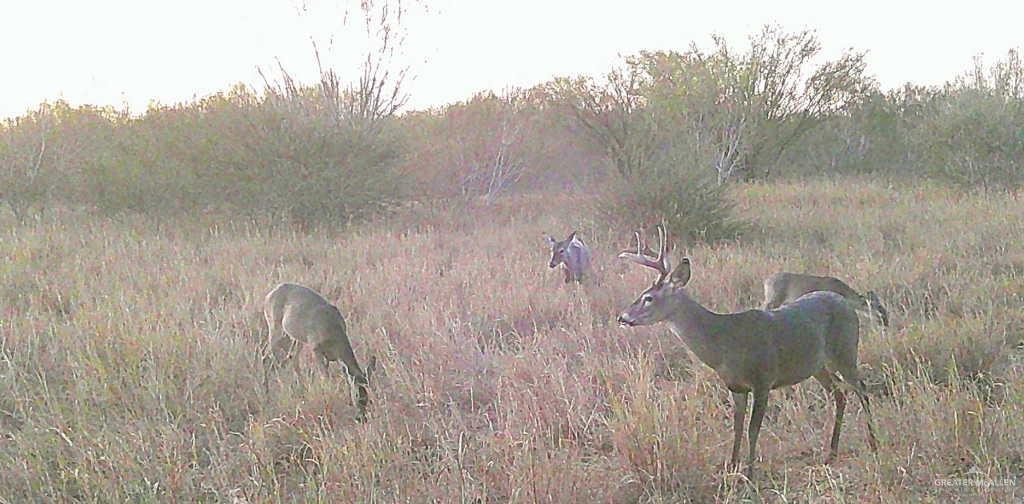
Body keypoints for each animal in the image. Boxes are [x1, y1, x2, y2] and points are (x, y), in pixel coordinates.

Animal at [262, 280, 378, 420]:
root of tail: (268, 295)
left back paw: (301, 391)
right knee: (266, 355)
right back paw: (267, 394)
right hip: (275, 327)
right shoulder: (315, 347)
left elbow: (340, 375)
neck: (333, 333)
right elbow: (324, 377)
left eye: (368, 396)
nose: (362, 418)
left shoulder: (334, 357)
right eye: (357, 395)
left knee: (292, 357)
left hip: (297, 337)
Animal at [614, 226, 880, 479]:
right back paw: (831, 453)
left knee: (861, 388)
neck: (725, 343)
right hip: (818, 366)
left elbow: (753, 429)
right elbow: (738, 427)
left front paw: (750, 474)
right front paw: (732, 467)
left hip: (845, 351)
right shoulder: (735, 386)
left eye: (648, 297)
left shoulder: (763, 379)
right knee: (840, 394)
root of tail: (847, 304)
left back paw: (873, 443)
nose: (623, 317)